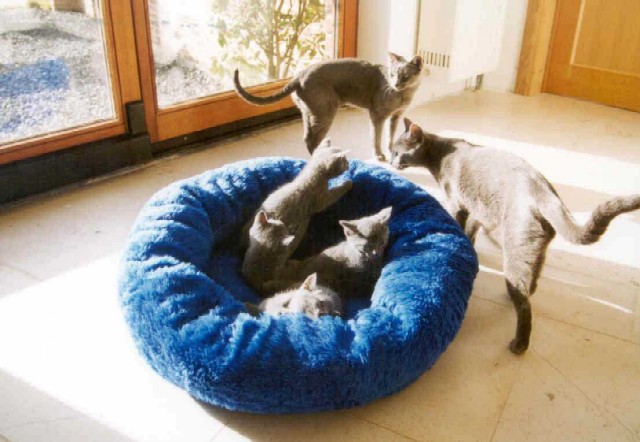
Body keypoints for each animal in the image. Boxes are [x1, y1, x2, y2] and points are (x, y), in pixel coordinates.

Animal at [234, 53, 425, 160]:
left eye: (405, 76)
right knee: (311, 139)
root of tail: (298, 76)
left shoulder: (396, 116)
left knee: (307, 136)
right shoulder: (377, 115)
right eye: (392, 75)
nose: (395, 84)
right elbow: (376, 138)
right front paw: (379, 155)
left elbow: (390, 136)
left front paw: (391, 149)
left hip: (309, 112)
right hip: (326, 111)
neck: (404, 95)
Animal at [242, 140, 353, 292]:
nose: (349, 165)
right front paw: (348, 183)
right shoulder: (322, 199)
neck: (310, 176)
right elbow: (335, 193)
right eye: (345, 161)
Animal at [390, 118, 640, 354]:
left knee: (524, 305)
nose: (390, 161)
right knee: (531, 284)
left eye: (396, 151)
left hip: (515, 249)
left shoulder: (457, 204)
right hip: (535, 250)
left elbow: (460, 224)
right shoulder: (478, 210)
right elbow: (471, 230)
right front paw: (469, 246)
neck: (440, 154)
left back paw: (519, 343)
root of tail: (545, 193)